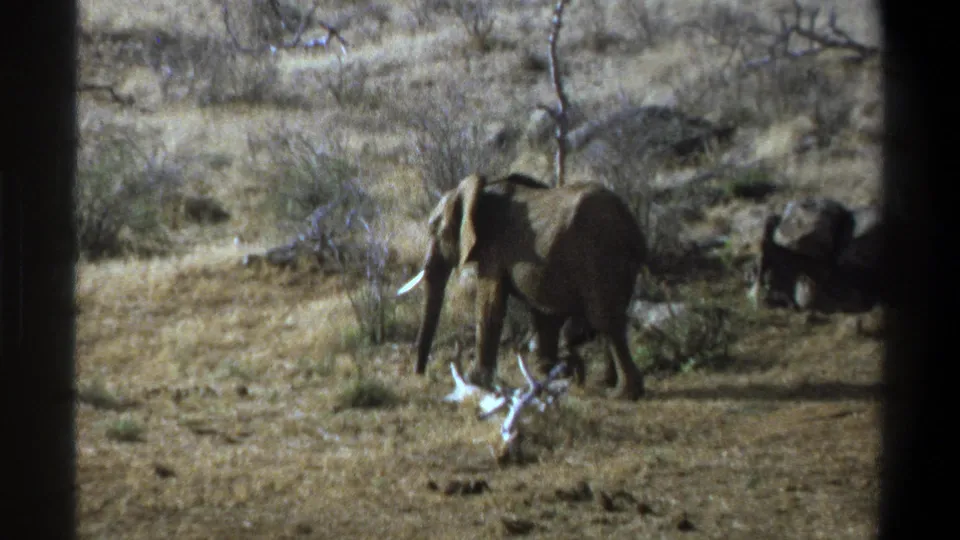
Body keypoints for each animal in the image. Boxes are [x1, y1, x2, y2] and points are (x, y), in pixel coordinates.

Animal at [397, 173, 649, 400]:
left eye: (433, 229)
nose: (420, 373)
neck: (479, 193)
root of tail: (632, 224)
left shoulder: (493, 249)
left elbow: (490, 306)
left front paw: (475, 380)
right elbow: (543, 315)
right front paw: (553, 372)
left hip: (599, 255)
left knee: (606, 320)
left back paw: (623, 393)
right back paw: (605, 381)